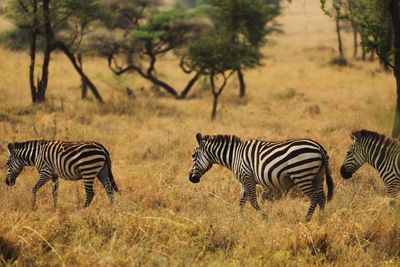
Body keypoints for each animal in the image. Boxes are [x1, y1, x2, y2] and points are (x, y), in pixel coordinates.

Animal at [189, 132, 332, 222]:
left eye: (193, 156)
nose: (191, 179)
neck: (234, 156)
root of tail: (319, 147)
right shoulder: (243, 180)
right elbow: (242, 201)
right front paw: (239, 220)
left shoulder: (247, 177)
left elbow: (252, 200)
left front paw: (265, 218)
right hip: (318, 176)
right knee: (321, 197)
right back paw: (321, 220)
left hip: (302, 175)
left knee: (314, 197)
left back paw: (306, 219)